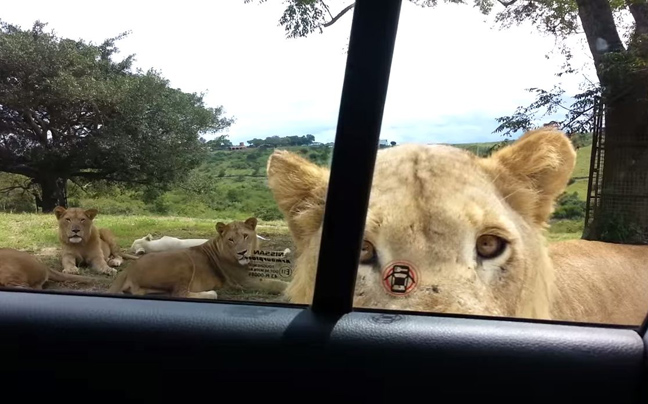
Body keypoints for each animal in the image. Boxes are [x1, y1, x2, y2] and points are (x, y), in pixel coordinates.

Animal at [109, 218, 288, 300]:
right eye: (231, 239)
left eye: (245, 236)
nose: (242, 252)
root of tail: (128, 270)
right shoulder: (243, 281)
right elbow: (275, 283)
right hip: (184, 262)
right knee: (179, 293)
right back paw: (211, 293)